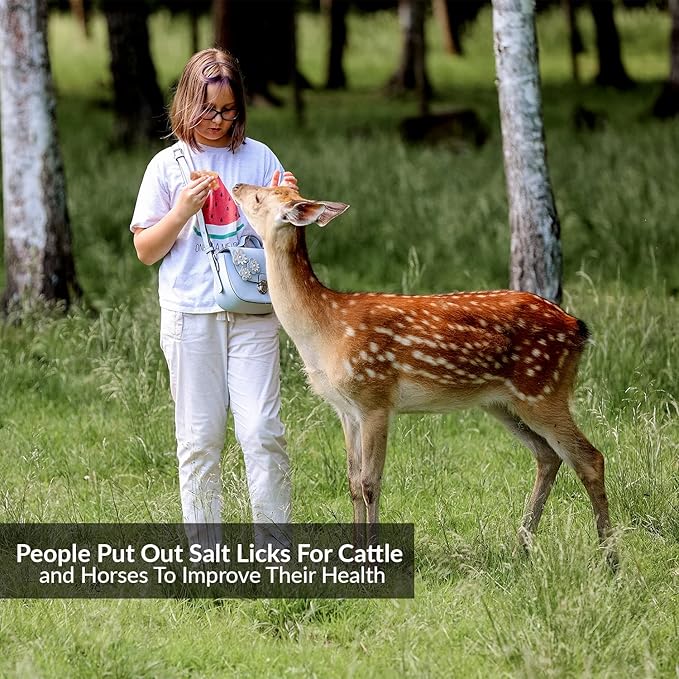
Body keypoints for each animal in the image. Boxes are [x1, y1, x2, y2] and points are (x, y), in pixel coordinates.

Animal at [231, 183, 617, 568]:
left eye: (259, 197)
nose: (236, 185)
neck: (324, 331)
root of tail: (578, 328)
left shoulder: (375, 398)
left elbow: (371, 482)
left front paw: (372, 558)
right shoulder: (346, 410)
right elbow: (353, 482)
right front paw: (353, 555)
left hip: (543, 388)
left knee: (589, 457)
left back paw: (610, 557)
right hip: (503, 403)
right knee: (548, 455)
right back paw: (522, 545)